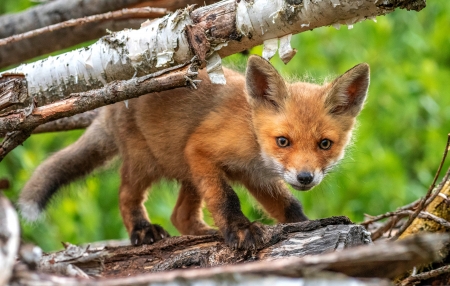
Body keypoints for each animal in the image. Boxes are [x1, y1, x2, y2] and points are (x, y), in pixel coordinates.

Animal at [18, 55, 370, 248]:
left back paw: (204, 232)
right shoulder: (201, 149)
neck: (252, 137)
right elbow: (226, 198)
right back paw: (143, 230)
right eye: (283, 141)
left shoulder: (257, 177)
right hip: (147, 162)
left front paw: (308, 225)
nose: (306, 177)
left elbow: (289, 205)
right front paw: (241, 230)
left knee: (181, 216)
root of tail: (110, 105)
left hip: (186, 170)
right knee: (127, 196)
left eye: (324, 144)